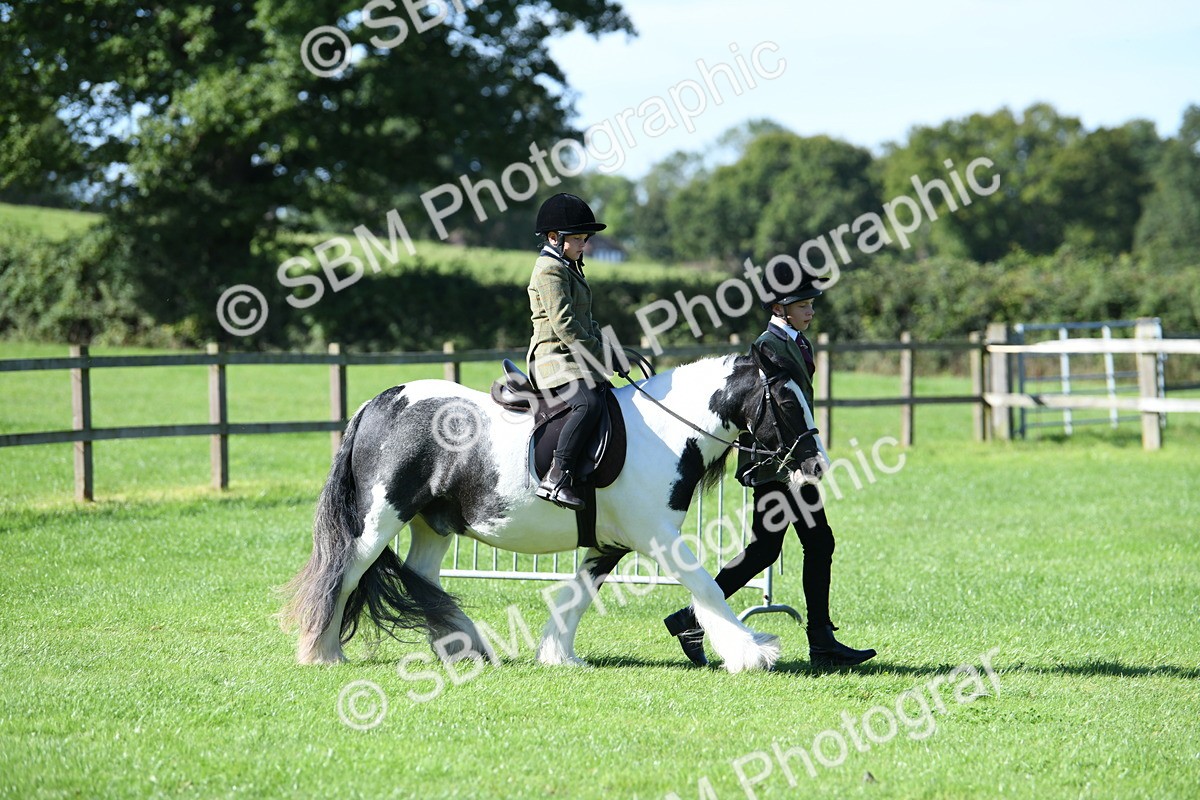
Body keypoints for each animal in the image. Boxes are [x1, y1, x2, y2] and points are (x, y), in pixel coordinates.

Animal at [280, 345, 829, 673]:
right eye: (787, 401)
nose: (815, 465)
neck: (667, 431)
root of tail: (379, 402)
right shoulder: (658, 537)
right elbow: (707, 588)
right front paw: (752, 651)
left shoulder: (611, 544)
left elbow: (577, 597)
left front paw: (558, 656)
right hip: (378, 520)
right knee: (344, 573)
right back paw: (323, 653)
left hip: (432, 524)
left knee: (423, 579)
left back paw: (463, 646)